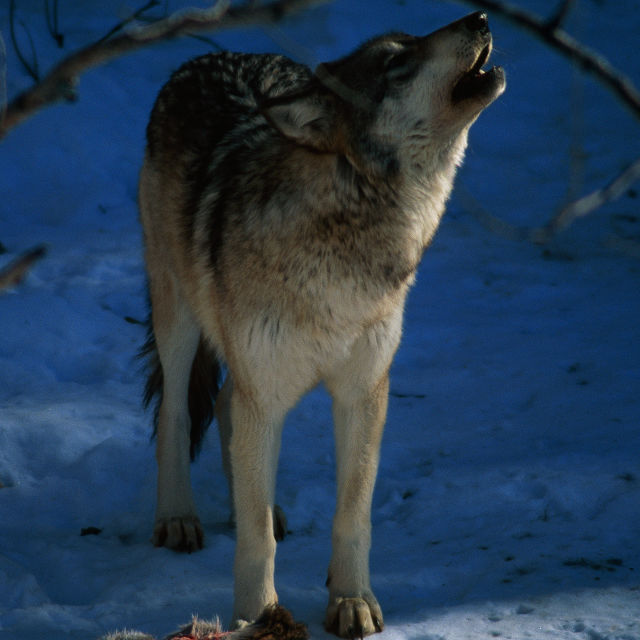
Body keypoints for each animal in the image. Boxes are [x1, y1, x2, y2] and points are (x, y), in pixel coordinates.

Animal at [139, 10, 504, 638]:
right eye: (395, 61)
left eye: (411, 43)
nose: (480, 16)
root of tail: (209, 57)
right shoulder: (266, 392)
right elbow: (257, 541)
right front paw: (259, 616)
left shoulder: (363, 393)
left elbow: (352, 515)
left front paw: (351, 600)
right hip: (180, 318)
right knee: (178, 411)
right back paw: (179, 517)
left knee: (229, 410)